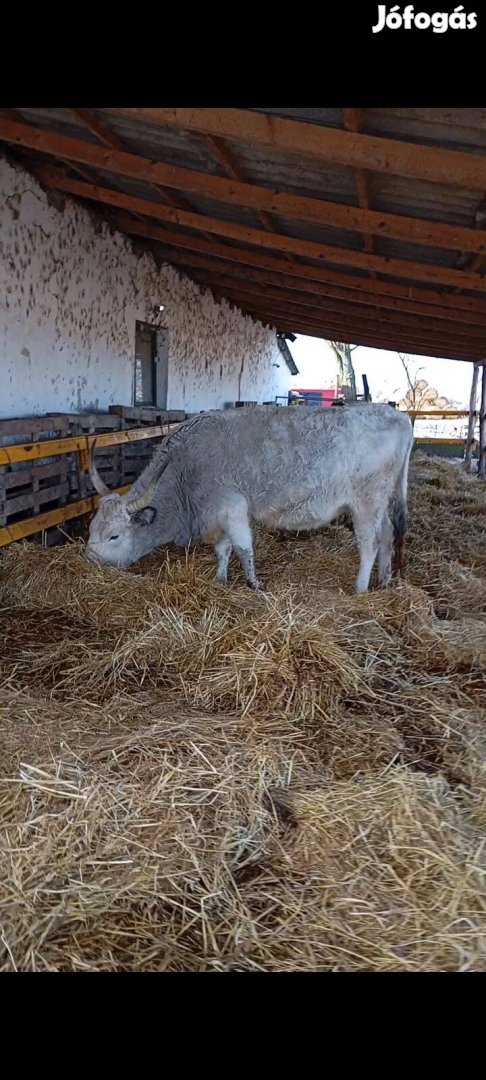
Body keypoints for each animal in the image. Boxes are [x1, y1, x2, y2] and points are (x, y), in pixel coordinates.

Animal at [85, 403, 412, 596]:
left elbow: (243, 549)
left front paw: (254, 584)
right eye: (91, 529)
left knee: (369, 543)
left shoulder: (232, 508)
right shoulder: (218, 514)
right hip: (380, 503)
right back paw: (384, 582)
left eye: (114, 536)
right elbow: (222, 550)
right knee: (387, 535)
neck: (185, 469)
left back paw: (360, 588)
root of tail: (397, 415)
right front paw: (220, 579)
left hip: (366, 502)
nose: (88, 560)